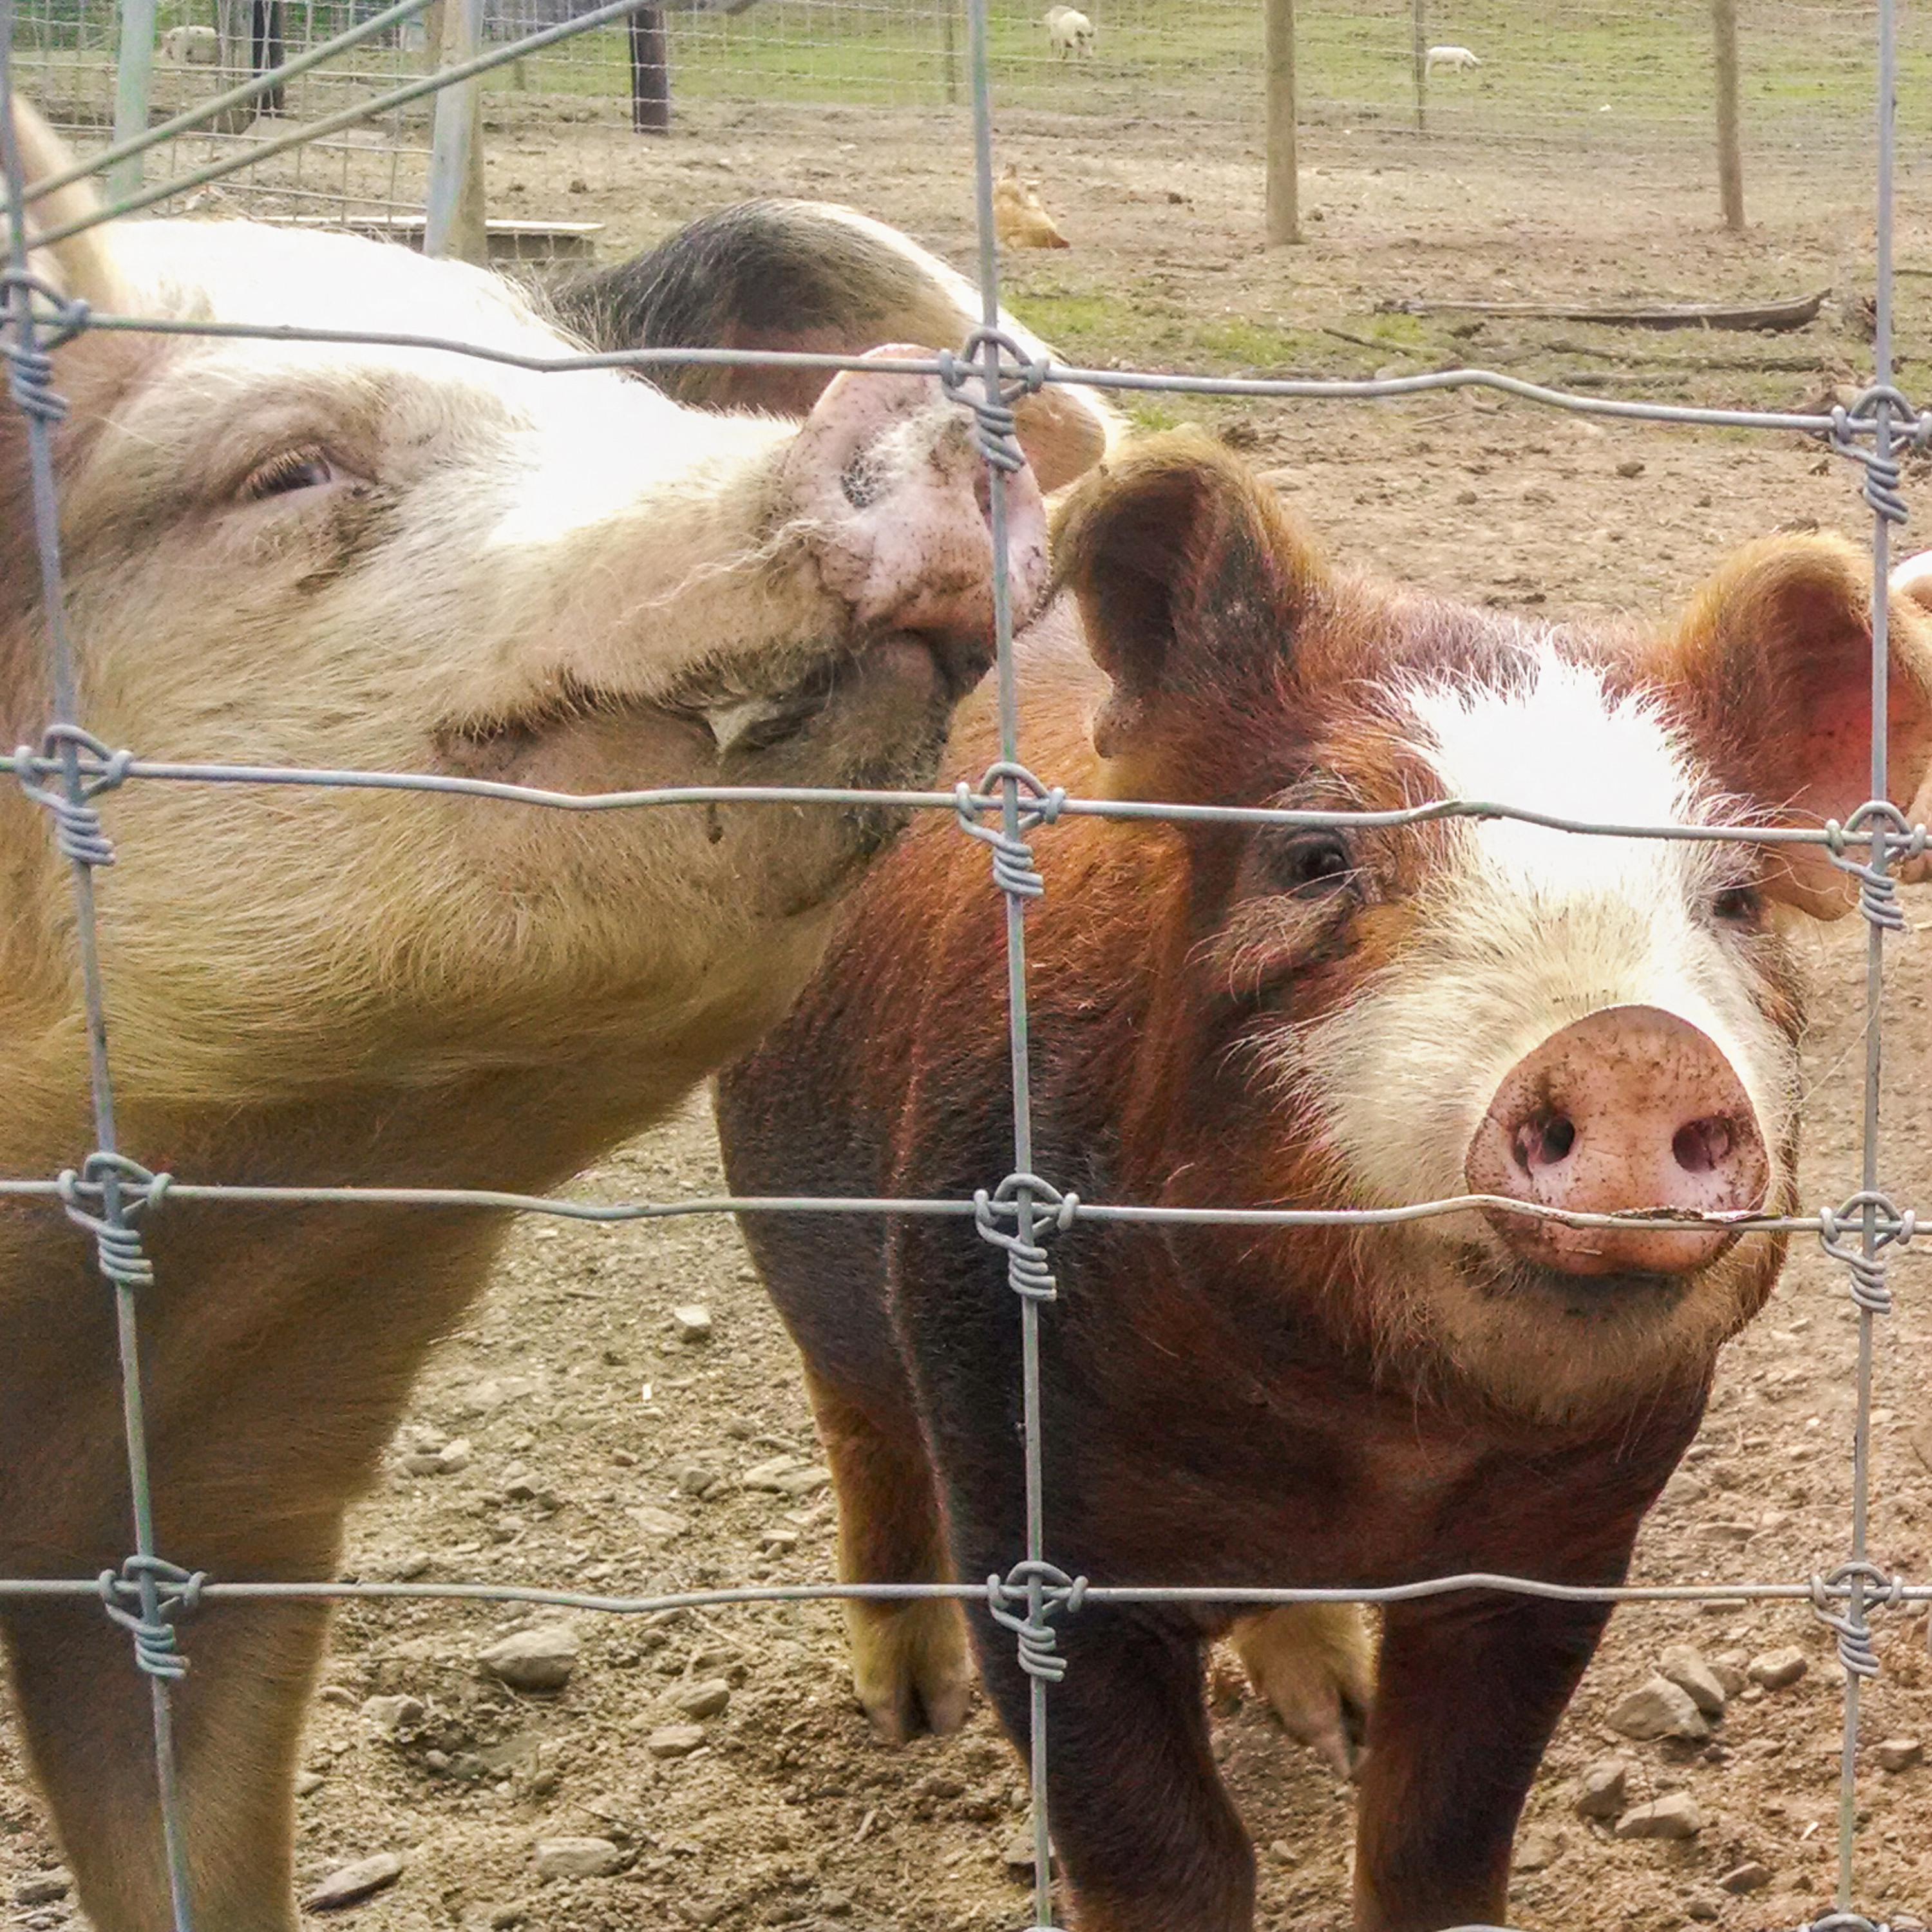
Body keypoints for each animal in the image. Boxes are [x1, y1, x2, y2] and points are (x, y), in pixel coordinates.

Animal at [716, 433, 1932, 1931]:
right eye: (1314, 859)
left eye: (1739, 902)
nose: (1636, 1047)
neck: (1360, 1437)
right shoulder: (1011, 1478)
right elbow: (1160, 1855)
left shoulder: (1566, 1544)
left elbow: (1440, 1839)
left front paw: (1369, 1755)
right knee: (855, 1426)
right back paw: (908, 1712)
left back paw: (1329, 1711)